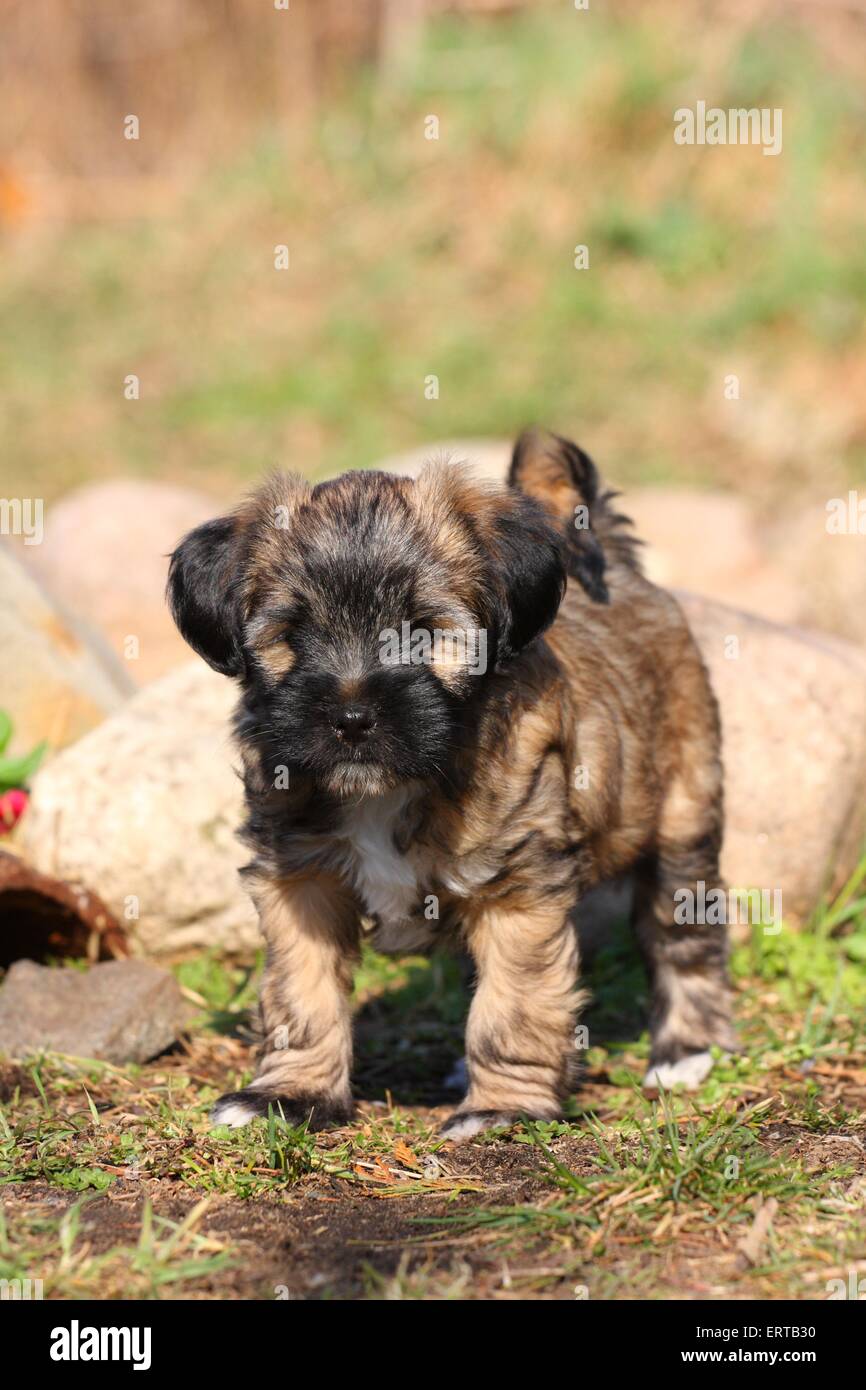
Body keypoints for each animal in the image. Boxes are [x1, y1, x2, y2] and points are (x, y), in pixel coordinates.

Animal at [167, 430, 733, 1139]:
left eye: (423, 633)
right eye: (292, 635)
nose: (352, 719)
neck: (390, 789)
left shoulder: (519, 891)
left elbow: (514, 1003)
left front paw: (502, 1107)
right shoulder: (300, 881)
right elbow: (303, 992)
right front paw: (288, 1094)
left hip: (683, 813)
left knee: (683, 934)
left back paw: (686, 1050)